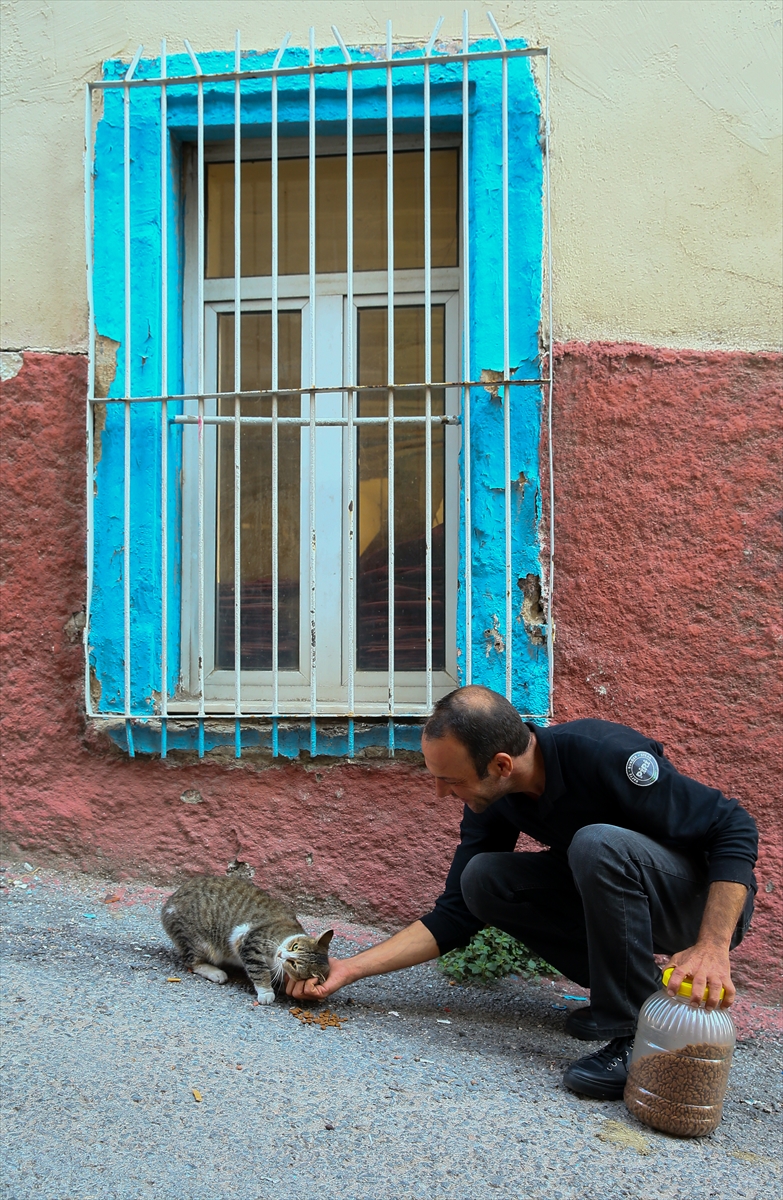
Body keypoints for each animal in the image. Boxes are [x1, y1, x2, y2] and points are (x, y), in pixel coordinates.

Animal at [160, 873, 331, 1003]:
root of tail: (168, 904)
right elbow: (258, 970)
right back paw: (216, 972)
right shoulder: (249, 941)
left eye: (294, 964)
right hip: (197, 941)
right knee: (192, 962)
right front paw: (266, 992)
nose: (281, 954)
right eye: (295, 946)